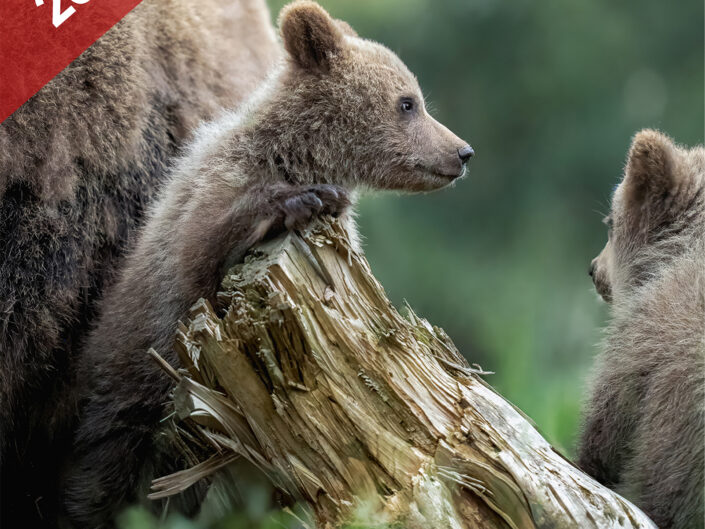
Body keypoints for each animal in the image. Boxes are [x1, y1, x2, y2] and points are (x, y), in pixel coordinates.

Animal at [62, 1, 474, 526]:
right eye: (408, 102)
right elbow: (204, 249)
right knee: (102, 472)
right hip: (127, 392)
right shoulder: (204, 205)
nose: (462, 152)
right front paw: (300, 202)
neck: (299, 151)